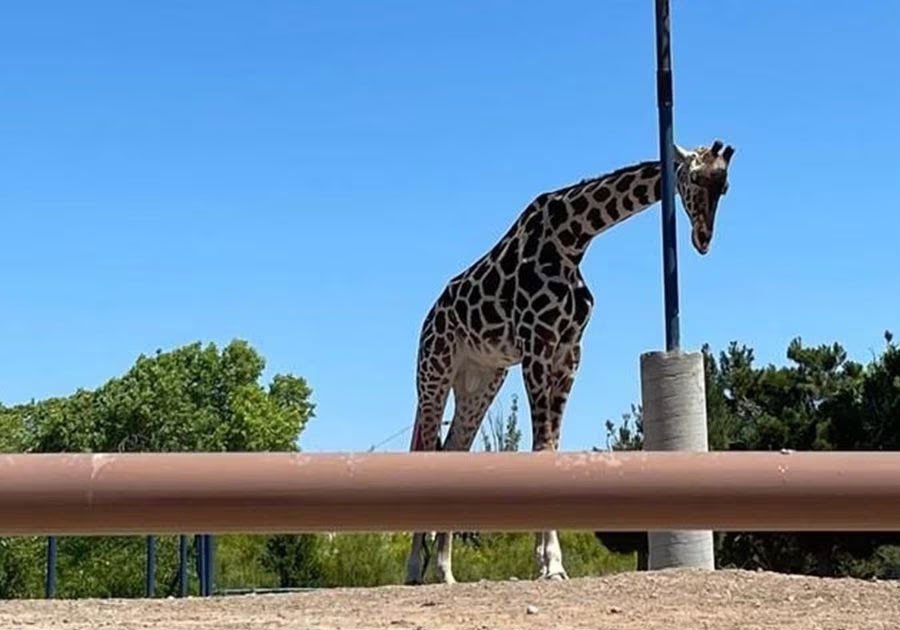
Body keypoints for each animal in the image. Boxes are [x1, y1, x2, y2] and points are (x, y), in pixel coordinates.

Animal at [404, 141, 736, 584]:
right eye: (696, 177)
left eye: (725, 186)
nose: (702, 240)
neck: (573, 237)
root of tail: (430, 315)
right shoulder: (537, 346)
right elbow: (542, 448)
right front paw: (550, 564)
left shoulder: (569, 352)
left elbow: (551, 449)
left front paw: (549, 562)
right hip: (434, 370)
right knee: (425, 449)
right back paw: (412, 570)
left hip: (481, 379)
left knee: (453, 451)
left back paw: (443, 572)